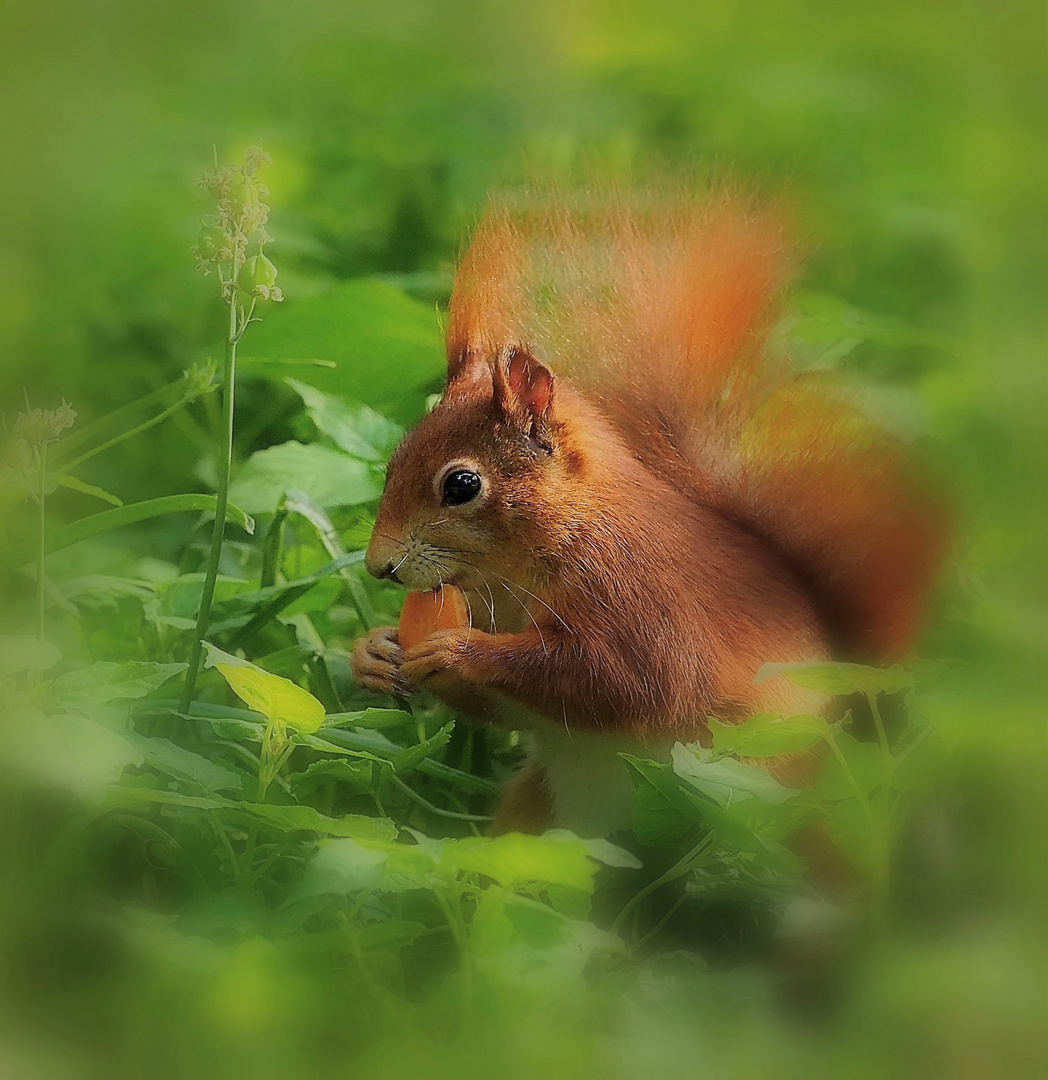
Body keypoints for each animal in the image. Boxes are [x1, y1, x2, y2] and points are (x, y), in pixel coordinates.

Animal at [347, 192, 942, 833]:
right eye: (393, 461)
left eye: (461, 484)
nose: (378, 567)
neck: (547, 546)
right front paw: (373, 652)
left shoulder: (642, 600)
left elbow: (627, 683)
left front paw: (458, 650)